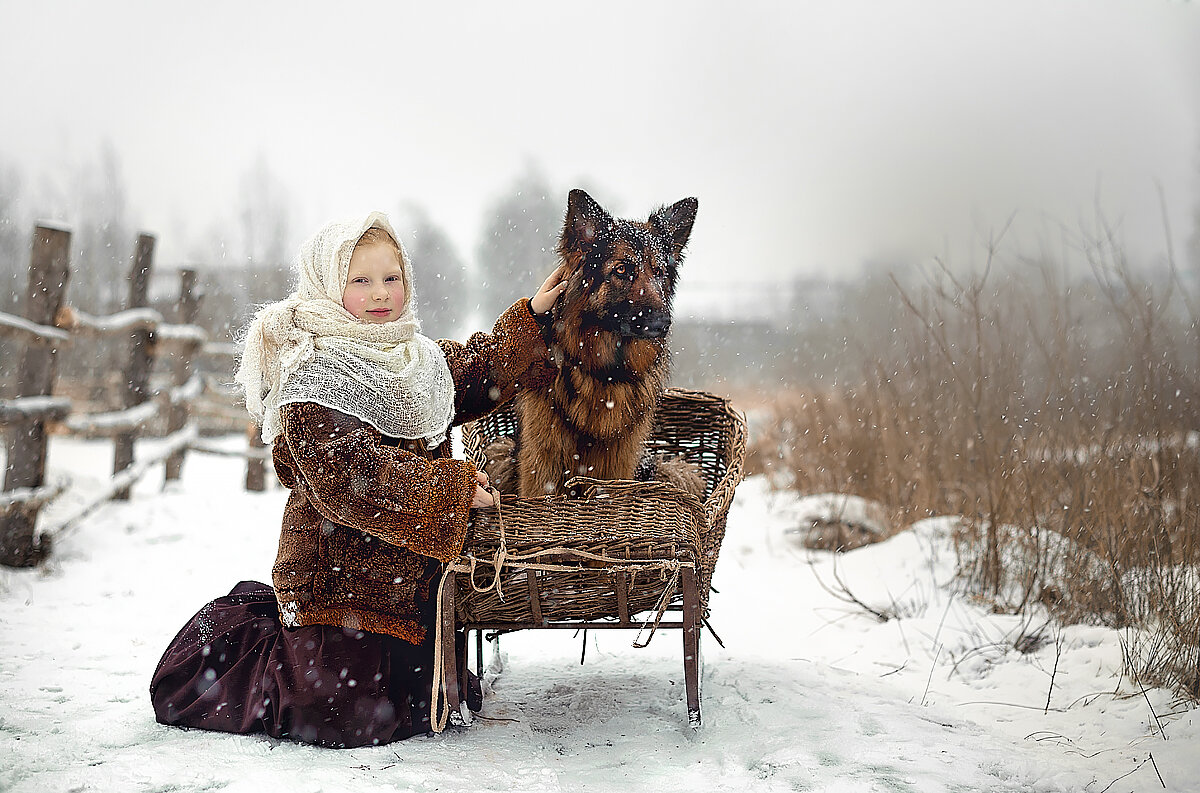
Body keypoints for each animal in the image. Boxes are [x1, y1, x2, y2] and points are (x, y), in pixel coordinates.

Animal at [508, 188, 700, 494]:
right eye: (621, 270)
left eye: (659, 272)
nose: (663, 323)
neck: (607, 373)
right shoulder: (541, 461)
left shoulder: (618, 462)